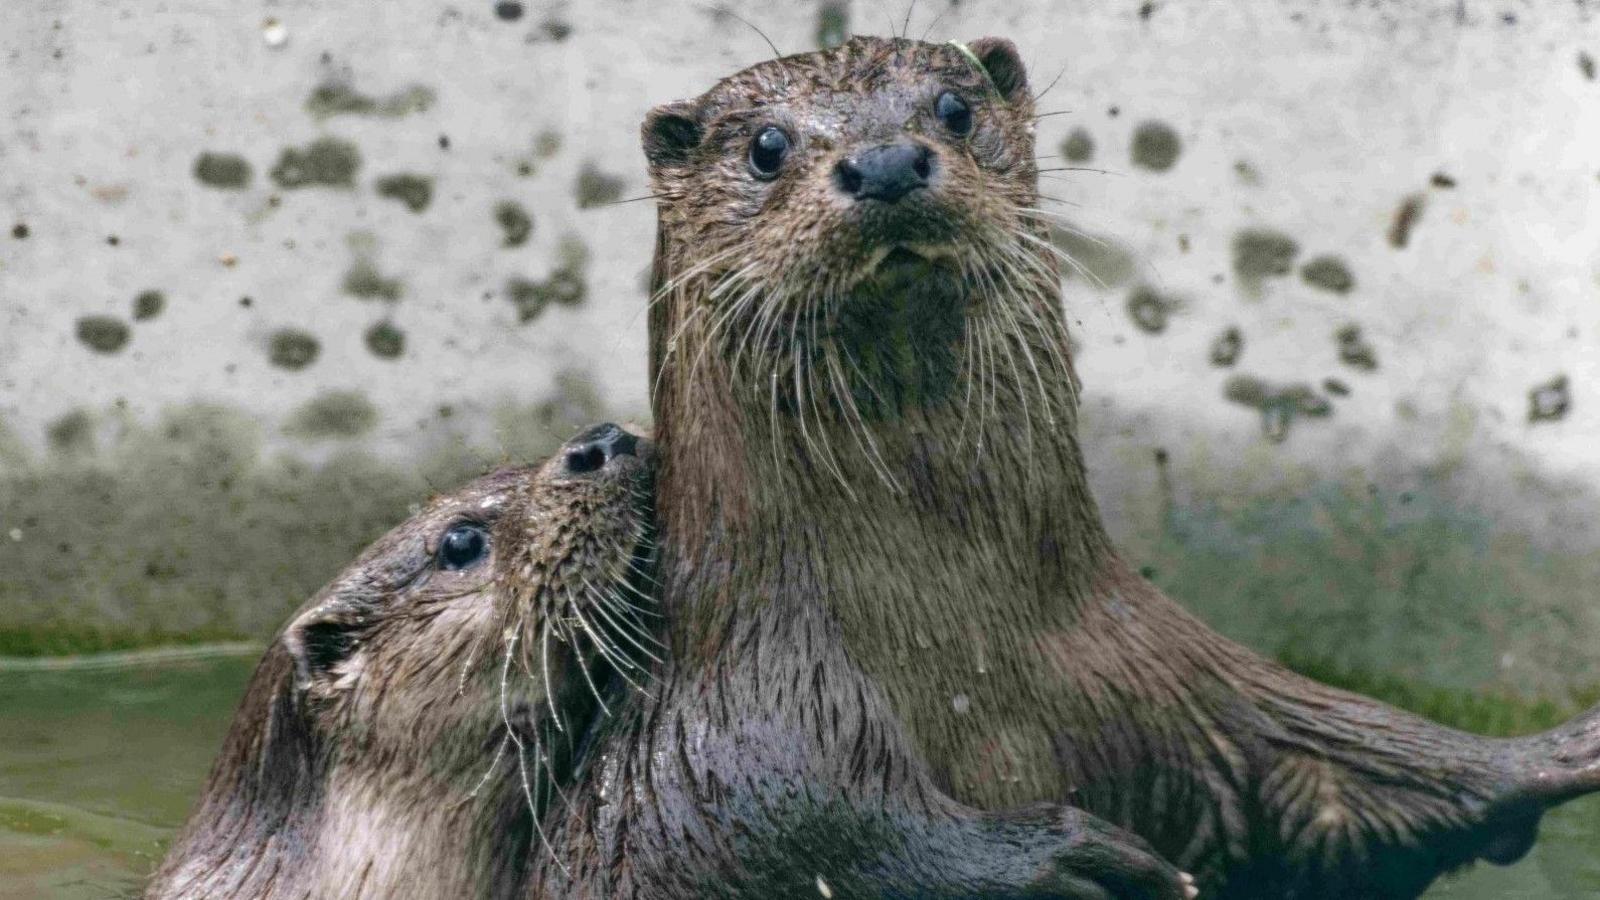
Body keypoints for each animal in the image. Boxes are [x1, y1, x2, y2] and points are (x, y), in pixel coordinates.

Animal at [617, 33, 1600, 890]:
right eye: (767, 147)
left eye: (955, 109)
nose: (888, 161)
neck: (959, 651)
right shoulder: (742, 752)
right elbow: (827, 838)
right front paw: (1062, 859)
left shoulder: (1172, 676)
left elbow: (1327, 771)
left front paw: (1546, 752)